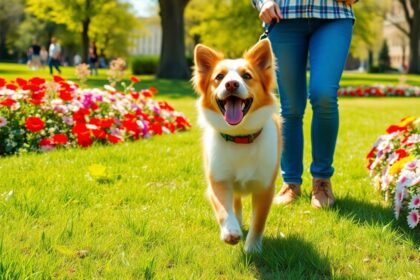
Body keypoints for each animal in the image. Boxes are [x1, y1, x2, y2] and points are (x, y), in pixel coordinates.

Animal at [194, 38, 282, 253]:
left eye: (247, 76)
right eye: (219, 76)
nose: (231, 84)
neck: (240, 136)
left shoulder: (265, 188)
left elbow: (259, 221)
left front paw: (252, 248)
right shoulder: (217, 180)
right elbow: (224, 209)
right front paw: (231, 231)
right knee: (235, 202)